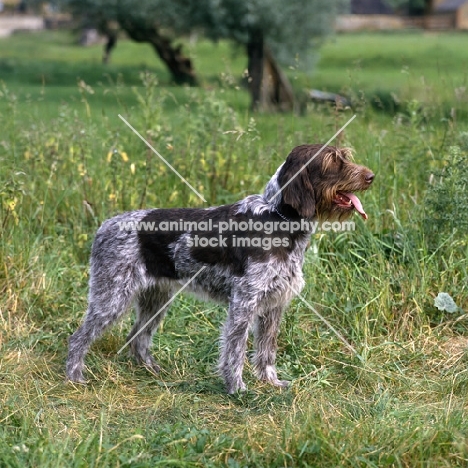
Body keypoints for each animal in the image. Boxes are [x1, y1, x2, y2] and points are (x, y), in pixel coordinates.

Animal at [66, 144, 374, 394]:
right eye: (332, 161)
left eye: (345, 156)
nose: (371, 176)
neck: (277, 218)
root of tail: (104, 226)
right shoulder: (244, 302)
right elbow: (235, 350)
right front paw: (236, 388)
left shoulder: (275, 303)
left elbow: (267, 349)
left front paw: (270, 382)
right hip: (112, 297)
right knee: (78, 337)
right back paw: (74, 376)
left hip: (156, 299)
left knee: (137, 337)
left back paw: (150, 370)